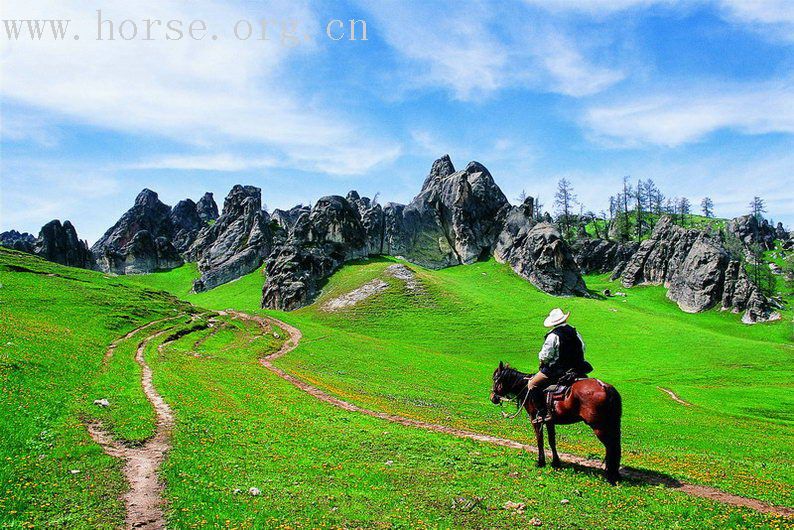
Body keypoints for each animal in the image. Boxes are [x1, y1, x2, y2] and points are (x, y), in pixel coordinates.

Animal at [488, 360, 620, 480]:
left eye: (495, 379)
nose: (492, 398)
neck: (527, 390)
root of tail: (605, 387)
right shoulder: (549, 421)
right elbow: (552, 441)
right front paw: (555, 462)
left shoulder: (535, 420)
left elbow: (540, 440)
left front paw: (541, 462)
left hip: (599, 427)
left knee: (611, 447)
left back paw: (610, 475)